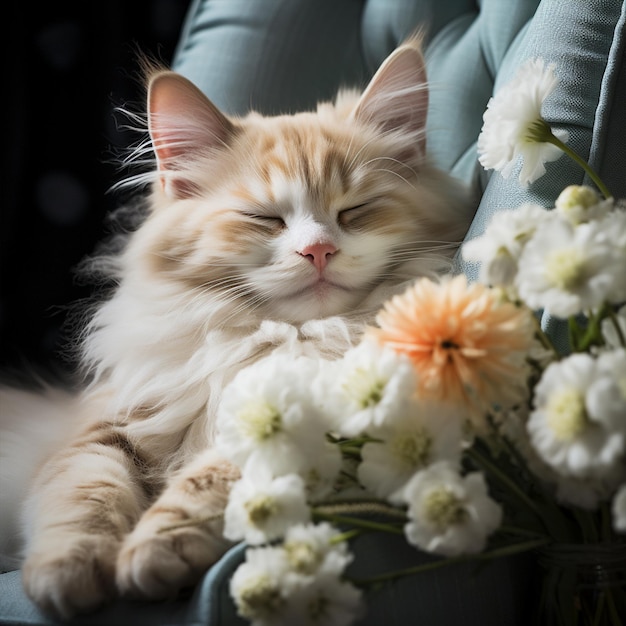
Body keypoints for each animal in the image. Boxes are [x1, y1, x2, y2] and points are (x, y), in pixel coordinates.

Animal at [0, 40, 470, 620]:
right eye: (263, 218)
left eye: (355, 211)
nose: (319, 250)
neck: (283, 338)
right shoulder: (107, 427)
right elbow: (84, 495)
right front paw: (69, 572)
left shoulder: (311, 426)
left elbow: (207, 487)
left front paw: (155, 552)